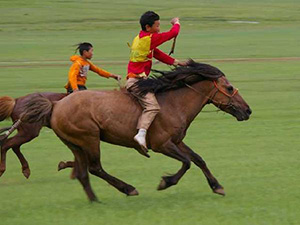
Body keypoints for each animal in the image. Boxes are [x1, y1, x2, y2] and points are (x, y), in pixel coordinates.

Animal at [19, 60, 252, 201]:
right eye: (229, 88)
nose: (248, 110)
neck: (173, 103)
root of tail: (56, 105)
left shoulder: (177, 141)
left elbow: (198, 159)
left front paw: (217, 186)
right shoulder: (162, 145)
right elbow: (186, 162)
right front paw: (165, 182)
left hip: (75, 144)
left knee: (84, 172)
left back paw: (95, 200)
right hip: (89, 139)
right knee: (95, 168)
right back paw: (128, 188)